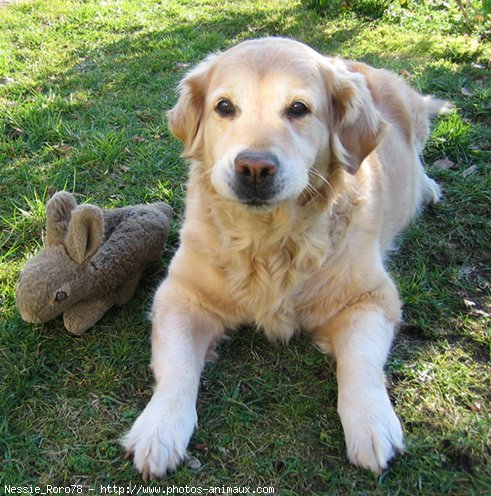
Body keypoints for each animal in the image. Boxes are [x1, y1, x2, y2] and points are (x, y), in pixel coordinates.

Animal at [122, 36, 446, 478]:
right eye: (225, 106)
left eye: (298, 109)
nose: (254, 168)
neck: (268, 240)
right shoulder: (181, 295)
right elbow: (177, 368)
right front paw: (159, 427)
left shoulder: (369, 297)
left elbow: (360, 363)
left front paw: (373, 423)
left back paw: (427, 188)